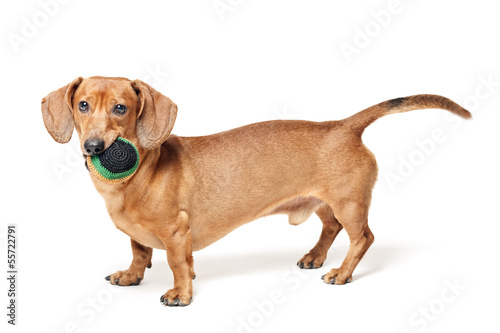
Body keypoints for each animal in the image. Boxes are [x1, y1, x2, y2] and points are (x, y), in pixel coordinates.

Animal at [41, 76, 470, 304]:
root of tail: (342, 125)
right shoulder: (139, 235)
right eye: (82, 105)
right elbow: (138, 251)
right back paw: (315, 257)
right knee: (330, 228)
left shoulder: (177, 231)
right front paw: (132, 275)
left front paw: (181, 293)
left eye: (121, 108)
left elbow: (178, 264)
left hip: (350, 204)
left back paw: (341, 273)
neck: (140, 173)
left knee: (362, 237)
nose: (94, 148)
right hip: (323, 203)